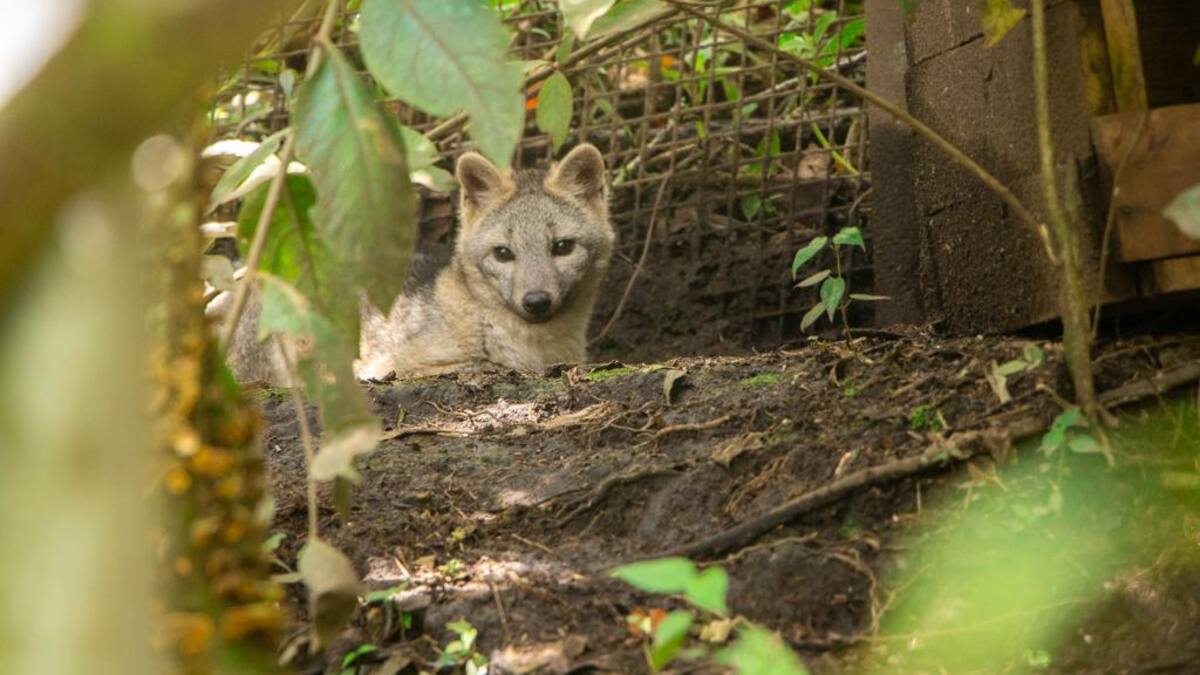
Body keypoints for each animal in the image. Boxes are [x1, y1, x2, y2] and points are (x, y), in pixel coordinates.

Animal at [214, 143, 615, 384]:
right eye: (504, 253)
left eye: (562, 247)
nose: (536, 302)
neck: (536, 347)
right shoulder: (392, 365)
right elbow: (488, 363)